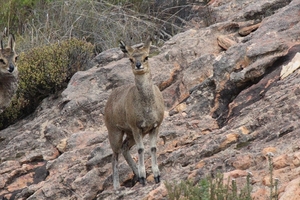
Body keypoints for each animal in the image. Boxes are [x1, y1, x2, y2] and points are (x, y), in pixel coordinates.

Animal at [105, 37, 165, 189]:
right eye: (131, 59)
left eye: (146, 57)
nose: (138, 65)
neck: (147, 108)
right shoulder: (136, 126)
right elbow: (141, 149)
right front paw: (144, 178)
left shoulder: (155, 126)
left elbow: (153, 148)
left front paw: (157, 176)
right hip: (115, 132)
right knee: (114, 155)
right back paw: (117, 186)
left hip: (129, 134)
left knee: (124, 148)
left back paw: (136, 175)